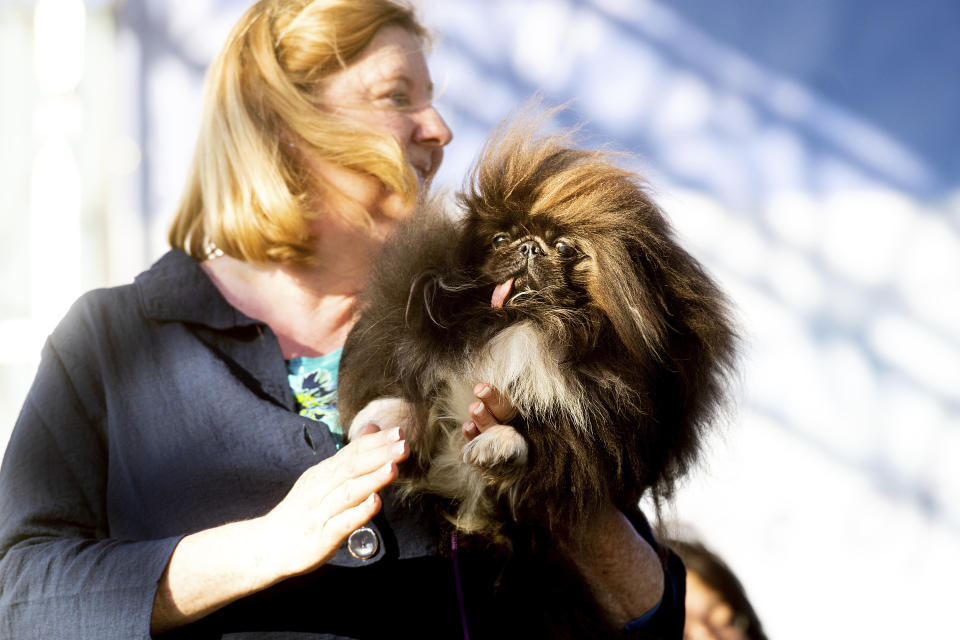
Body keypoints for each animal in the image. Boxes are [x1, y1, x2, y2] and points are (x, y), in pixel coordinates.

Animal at [338, 115, 736, 544]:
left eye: (562, 247)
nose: (528, 247)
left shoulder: (594, 428)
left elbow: (542, 444)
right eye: (499, 240)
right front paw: (386, 425)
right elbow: (414, 402)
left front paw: (499, 446)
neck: (528, 324)